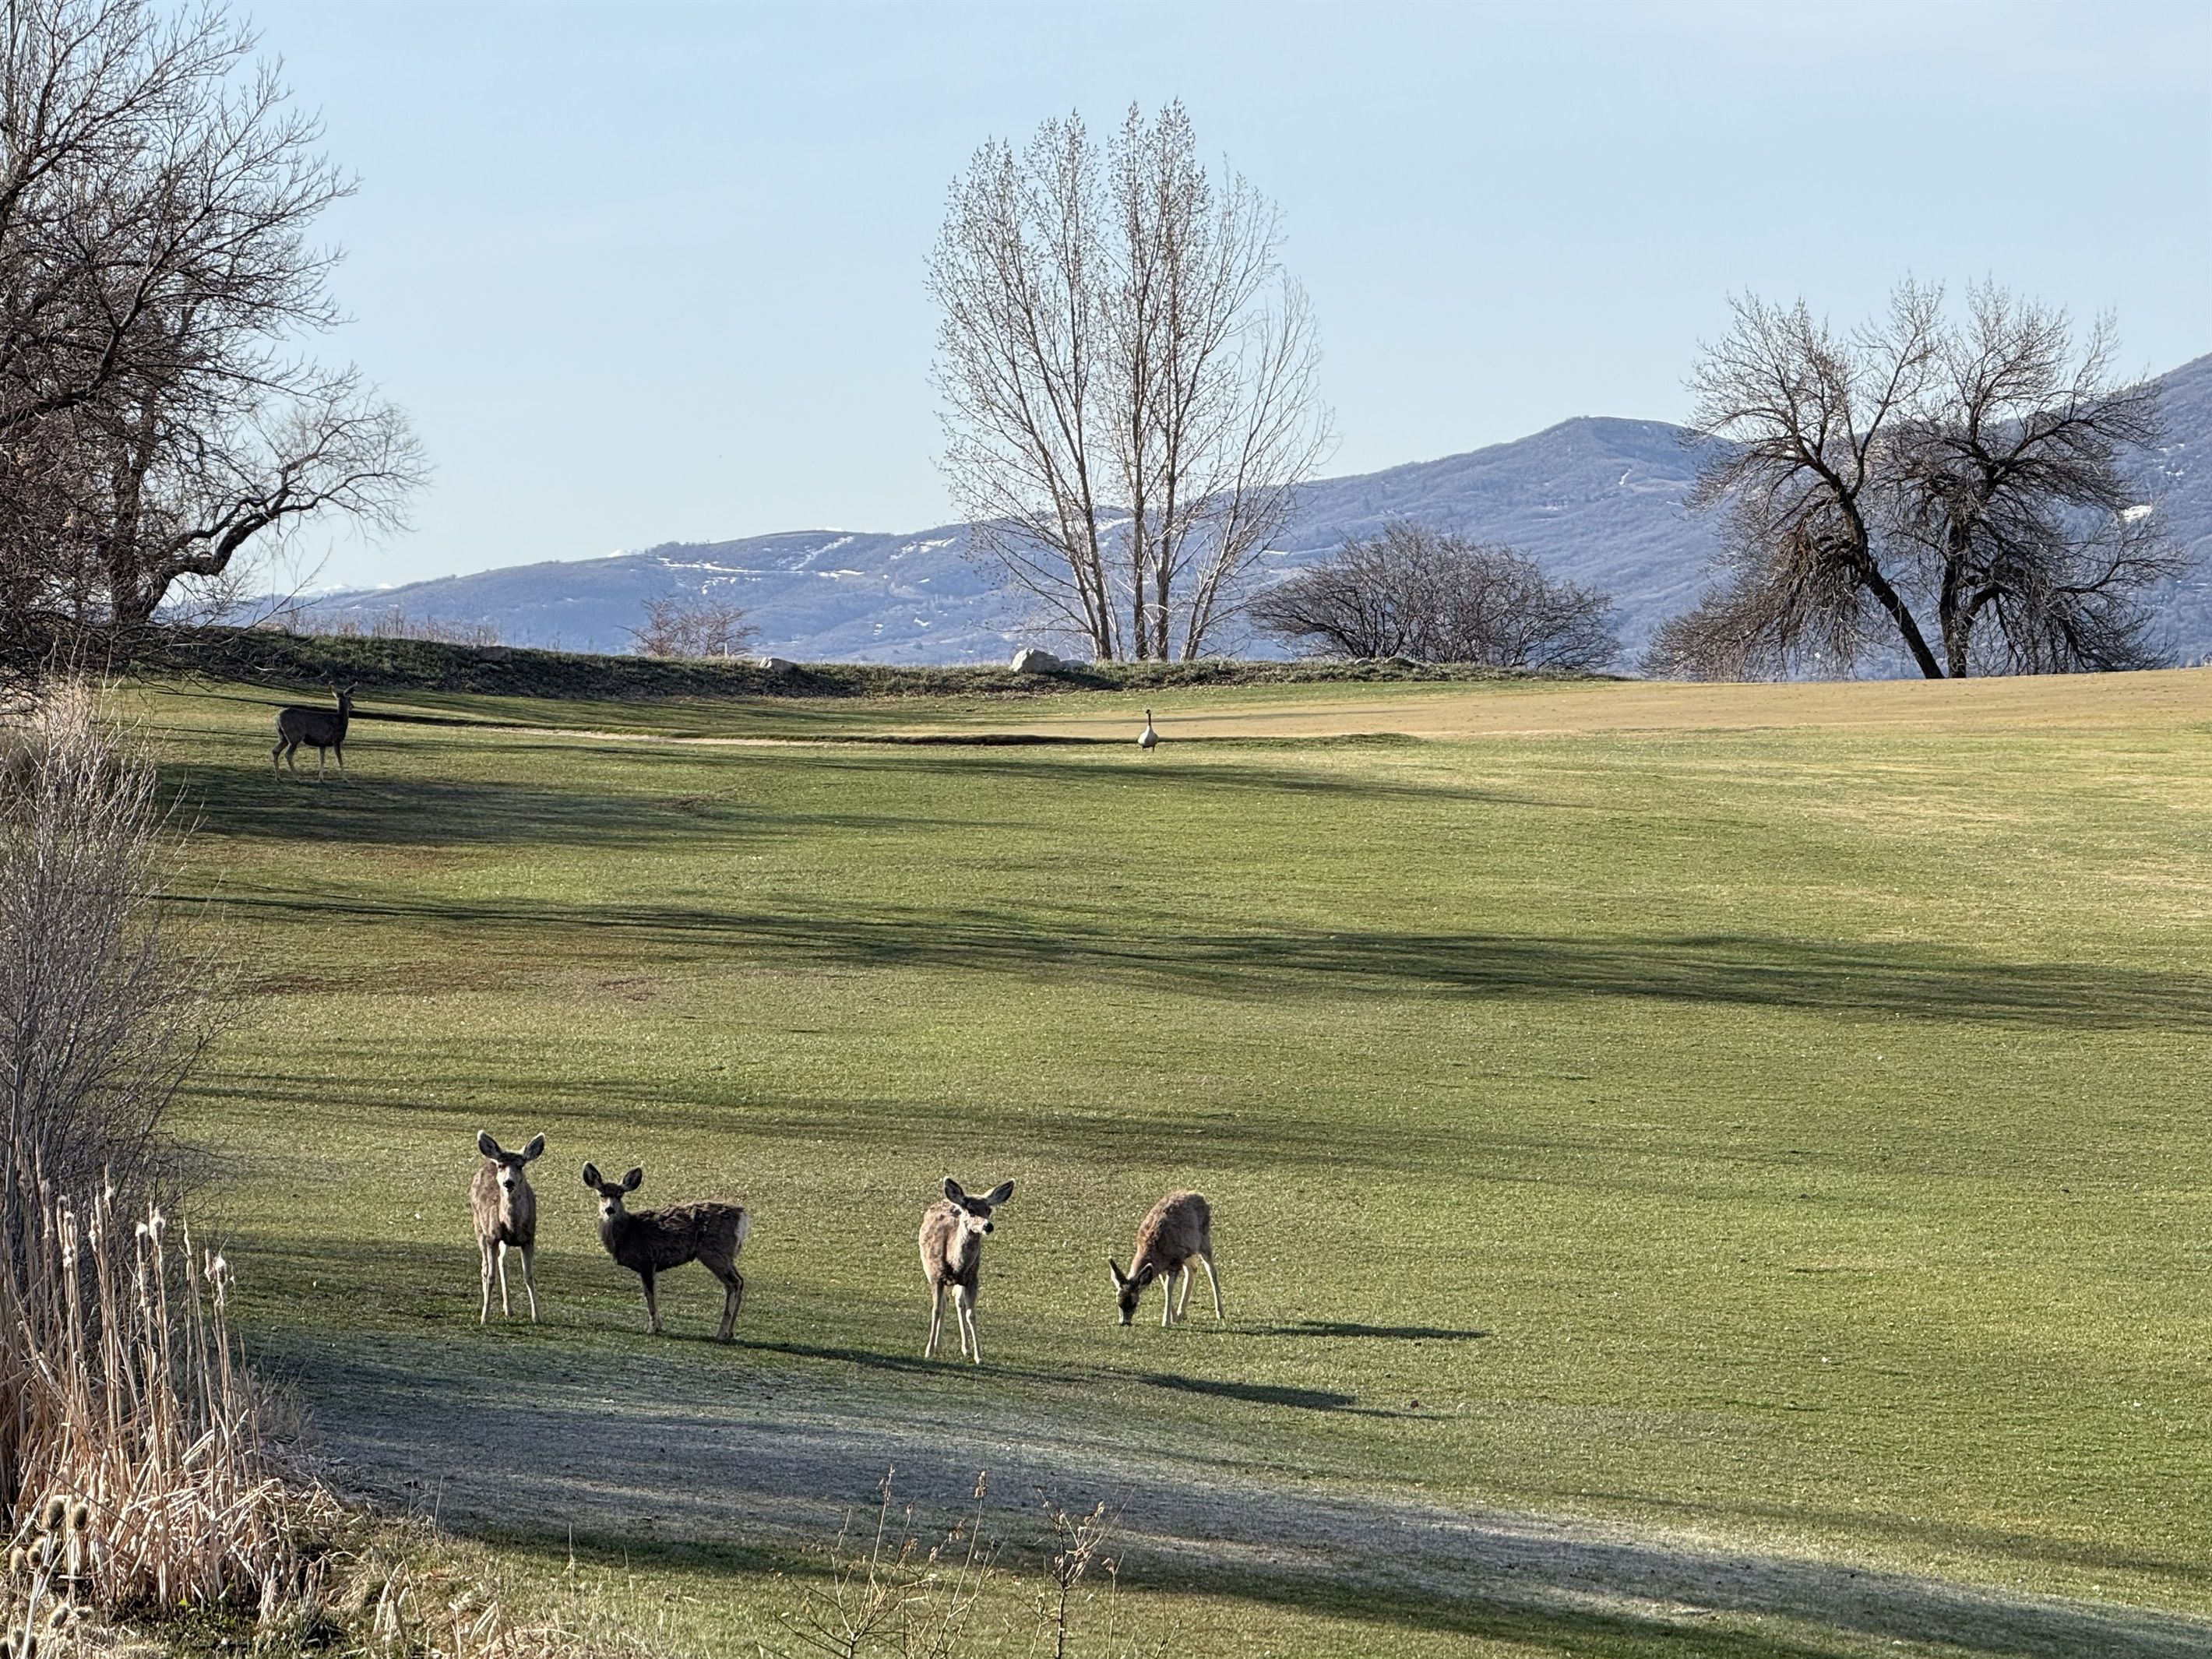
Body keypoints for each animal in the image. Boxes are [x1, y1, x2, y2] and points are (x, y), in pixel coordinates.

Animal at [471, 1130, 544, 1323]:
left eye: (520, 1166)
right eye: (501, 1166)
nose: (508, 1182)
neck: (512, 1226)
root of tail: (488, 1160)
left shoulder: (529, 1238)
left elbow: (529, 1276)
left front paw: (537, 1316)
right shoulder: (492, 1236)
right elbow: (491, 1276)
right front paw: (485, 1317)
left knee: (502, 1261)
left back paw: (508, 1309)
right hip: (478, 1226)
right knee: (485, 1267)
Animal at [581, 1162, 749, 1340]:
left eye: (620, 1195)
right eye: (601, 1194)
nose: (610, 1210)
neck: (628, 1233)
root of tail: (742, 1216)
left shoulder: (647, 1259)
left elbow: (649, 1294)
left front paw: (653, 1328)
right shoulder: (652, 1265)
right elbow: (654, 1292)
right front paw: (660, 1327)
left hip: (714, 1251)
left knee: (733, 1283)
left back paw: (721, 1333)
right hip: (727, 1255)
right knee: (740, 1280)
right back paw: (730, 1332)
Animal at [919, 1177, 1013, 1363]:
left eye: (989, 1210)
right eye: (971, 1211)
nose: (988, 1226)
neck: (955, 1263)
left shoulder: (972, 1277)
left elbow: (971, 1313)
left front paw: (979, 1356)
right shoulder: (935, 1276)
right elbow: (936, 1310)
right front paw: (928, 1351)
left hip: (961, 1281)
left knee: (957, 1301)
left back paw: (965, 1348)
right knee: (945, 1302)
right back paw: (937, 1346)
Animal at [1108, 1191, 1223, 1327]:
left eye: (1134, 1302)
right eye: (1118, 1302)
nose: (1124, 1322)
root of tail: (1199, 1195)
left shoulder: (1175, 1261)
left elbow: (1168, 1287)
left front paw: (1166, 1321)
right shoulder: (1162, 1266)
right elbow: (1165, 1286)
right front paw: (1173, 1317)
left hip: (1204, 1239)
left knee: (1211, 1271)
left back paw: (1220, 1313)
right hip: (1186, 1251)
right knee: (1193, 1269)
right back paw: (1181, 1313)